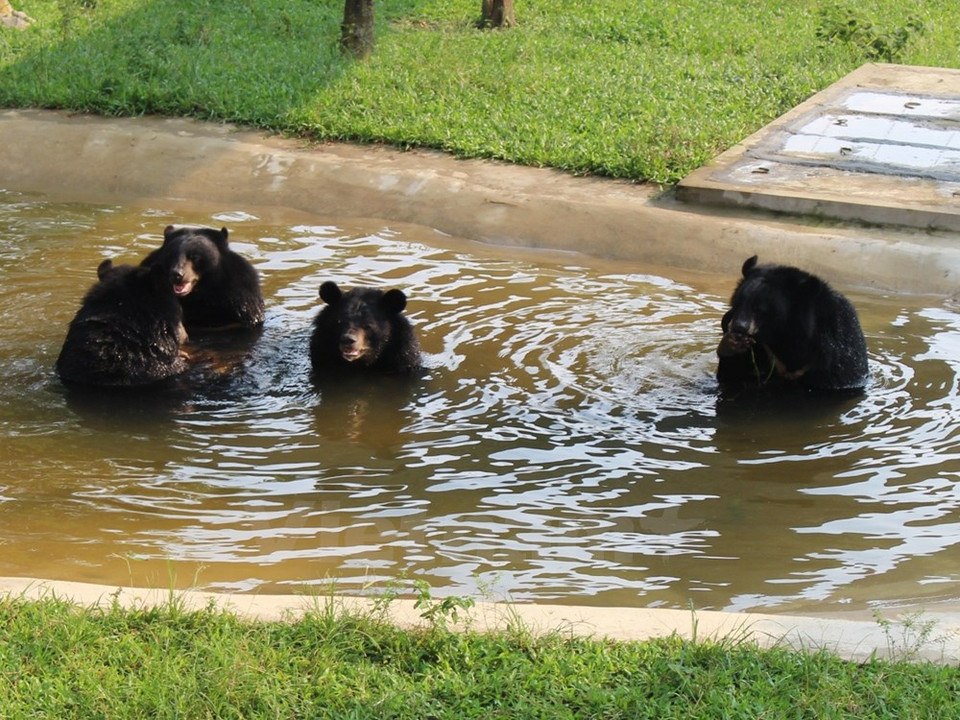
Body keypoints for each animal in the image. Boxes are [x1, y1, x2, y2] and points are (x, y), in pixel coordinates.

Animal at [716, 255, 869, 392]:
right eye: (738, 303)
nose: (739, 327)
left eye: (760, 309)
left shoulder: (833, 352)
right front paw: (732, 343)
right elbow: (733, 375)